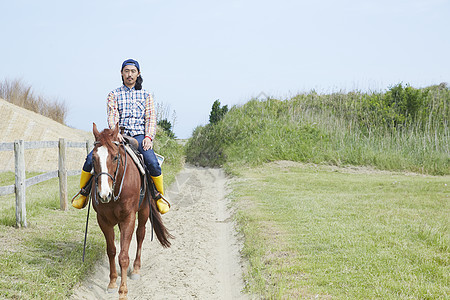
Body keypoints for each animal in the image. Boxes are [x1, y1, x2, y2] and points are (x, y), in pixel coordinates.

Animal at [89, 123, 172, 298]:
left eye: (115, 157)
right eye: (93, 158)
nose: (103, 194)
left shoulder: (129, 217)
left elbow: (124, 256)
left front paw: (123, 291)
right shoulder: (103, 220)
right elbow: (112, 251)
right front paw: (113, 283)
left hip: (144, 211)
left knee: (140, 235)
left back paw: (136, 269)